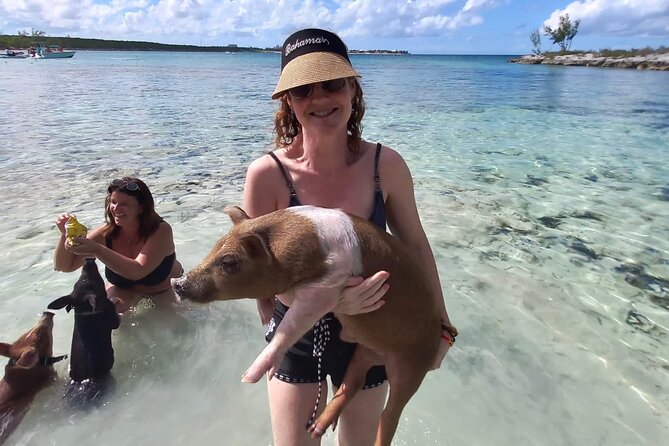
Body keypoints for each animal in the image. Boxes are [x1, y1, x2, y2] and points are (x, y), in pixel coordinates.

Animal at [172, 205, 443, 446]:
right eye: (215, 246)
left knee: (389, 415)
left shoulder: (326, 288)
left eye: (229, 262)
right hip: (364, 351)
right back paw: (315, 429)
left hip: (414, 366)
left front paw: (249, 378)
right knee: (354, 382)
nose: (177, 282)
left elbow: (290, 326)